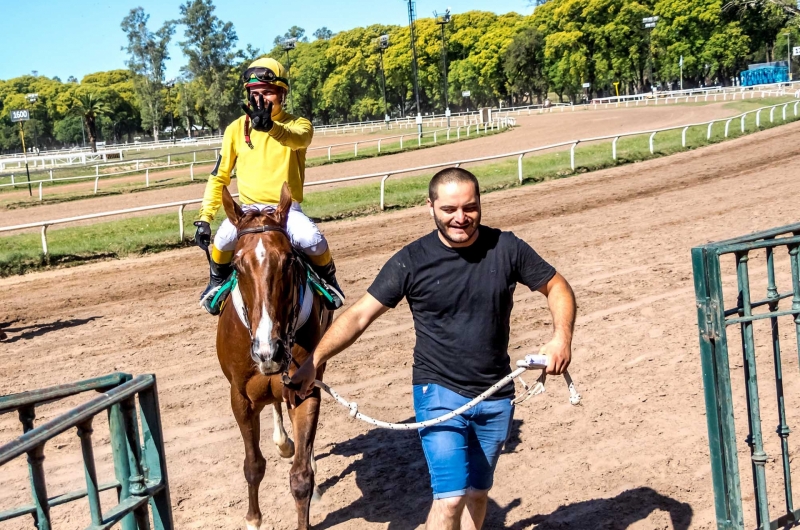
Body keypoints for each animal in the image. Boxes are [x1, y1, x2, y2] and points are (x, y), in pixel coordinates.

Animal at [214, 184, 332, 524]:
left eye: (289, 261)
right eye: (237, 265)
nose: (270, 350)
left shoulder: (305, 387)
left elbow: (301, 477)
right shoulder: (239, 396)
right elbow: (253, 465)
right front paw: (253, 519)